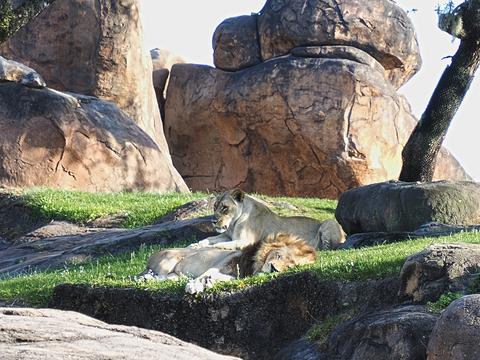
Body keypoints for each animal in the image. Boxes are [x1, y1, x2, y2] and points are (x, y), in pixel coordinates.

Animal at [138, 233, 318, 296]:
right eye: (279, 255)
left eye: (290, 267)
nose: (274, 269)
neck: (253, 264)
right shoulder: (222, 262)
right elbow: (205, 274)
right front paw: (195, 285)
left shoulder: (235, 276)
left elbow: (224, 279)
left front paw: (209, 283)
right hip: (169, 259)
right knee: (155, 275)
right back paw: (146, 278)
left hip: (174, 274)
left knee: (168, 278)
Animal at [188, 188, 344, 250]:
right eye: (214, 207)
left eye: (225, 207)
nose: (213, 221)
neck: (233, 224)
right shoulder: (227, 235)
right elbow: (209, 239)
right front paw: (195, 245)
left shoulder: (245, 241)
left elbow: (219, 244)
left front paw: (206, 247)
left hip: (329, 222)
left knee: (329, 248)